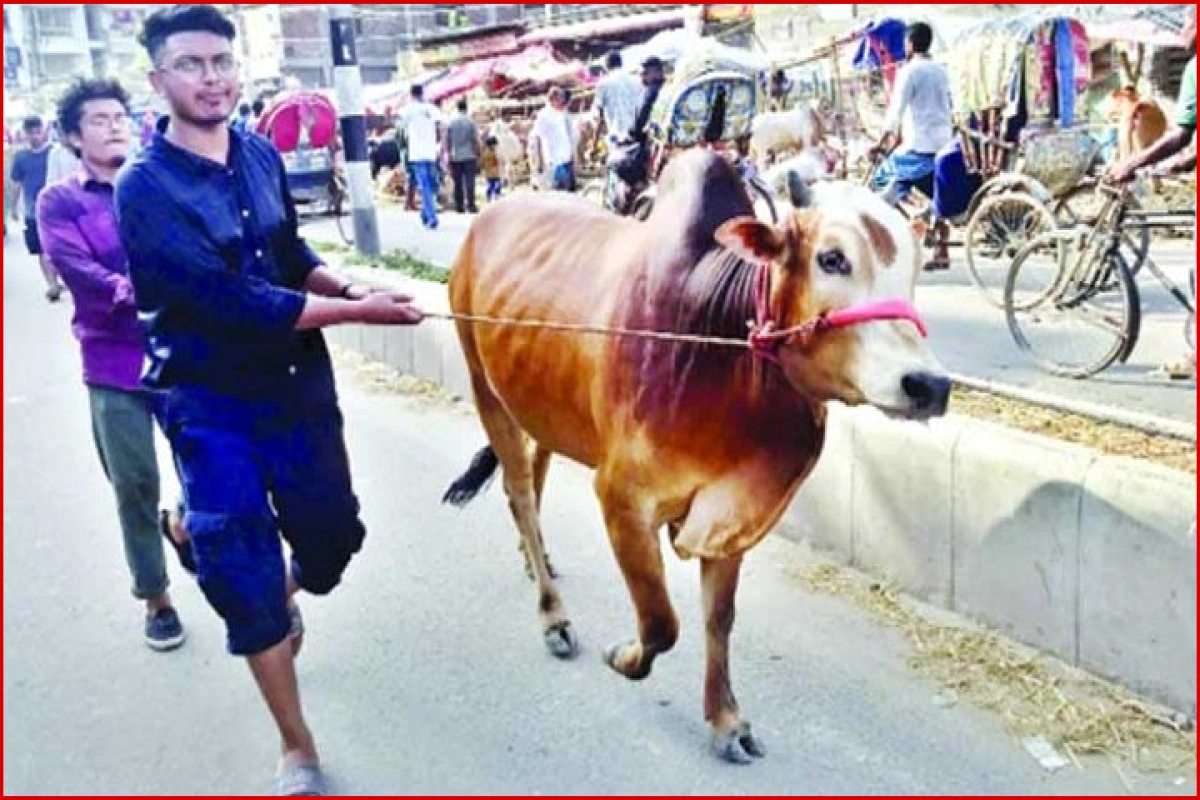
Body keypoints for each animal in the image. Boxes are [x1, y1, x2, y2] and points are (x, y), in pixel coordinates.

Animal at [441, 149, 945, 762]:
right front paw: (623, 656)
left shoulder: (733, 517)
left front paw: (726, 722)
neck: (716, 344)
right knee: (517, 490)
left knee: (534, 480)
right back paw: (552, 616)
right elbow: (662, 622)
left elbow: (718, 619)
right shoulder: (623, 500)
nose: (928, 384)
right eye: (832, 258)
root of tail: (486, 219)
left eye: (915, 267)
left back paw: (534, 560)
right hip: (485, 388)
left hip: (535, 399)